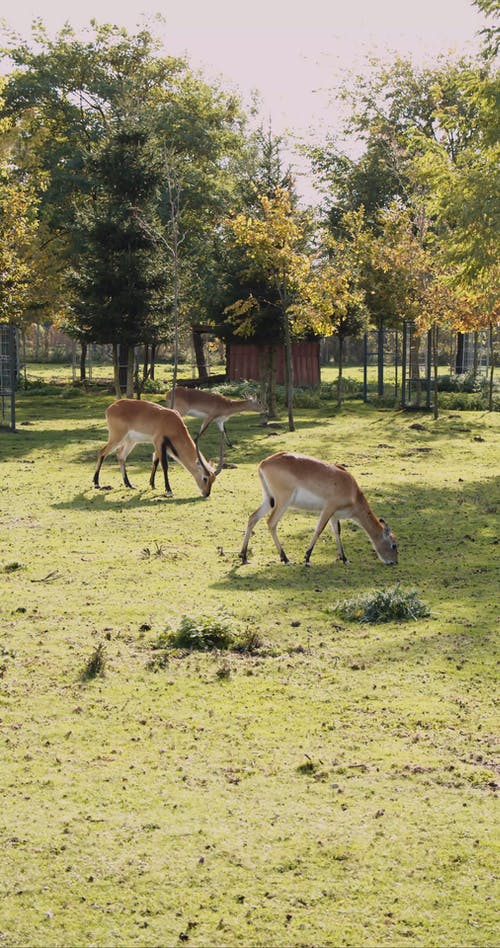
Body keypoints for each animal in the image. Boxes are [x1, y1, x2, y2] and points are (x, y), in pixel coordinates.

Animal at [239, 450, 398, 568]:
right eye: (394, 545)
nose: (395, 562)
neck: (353, 491)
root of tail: (264, 462)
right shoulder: (328, 508)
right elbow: (319, 529)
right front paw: (307, 558)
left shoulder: (334, 515)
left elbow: (337, 532)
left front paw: (344, 558)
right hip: (283, 501)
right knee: (271, 523)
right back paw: (286, 559)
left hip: (268, 500)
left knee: (253, 517)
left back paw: (244, 556)